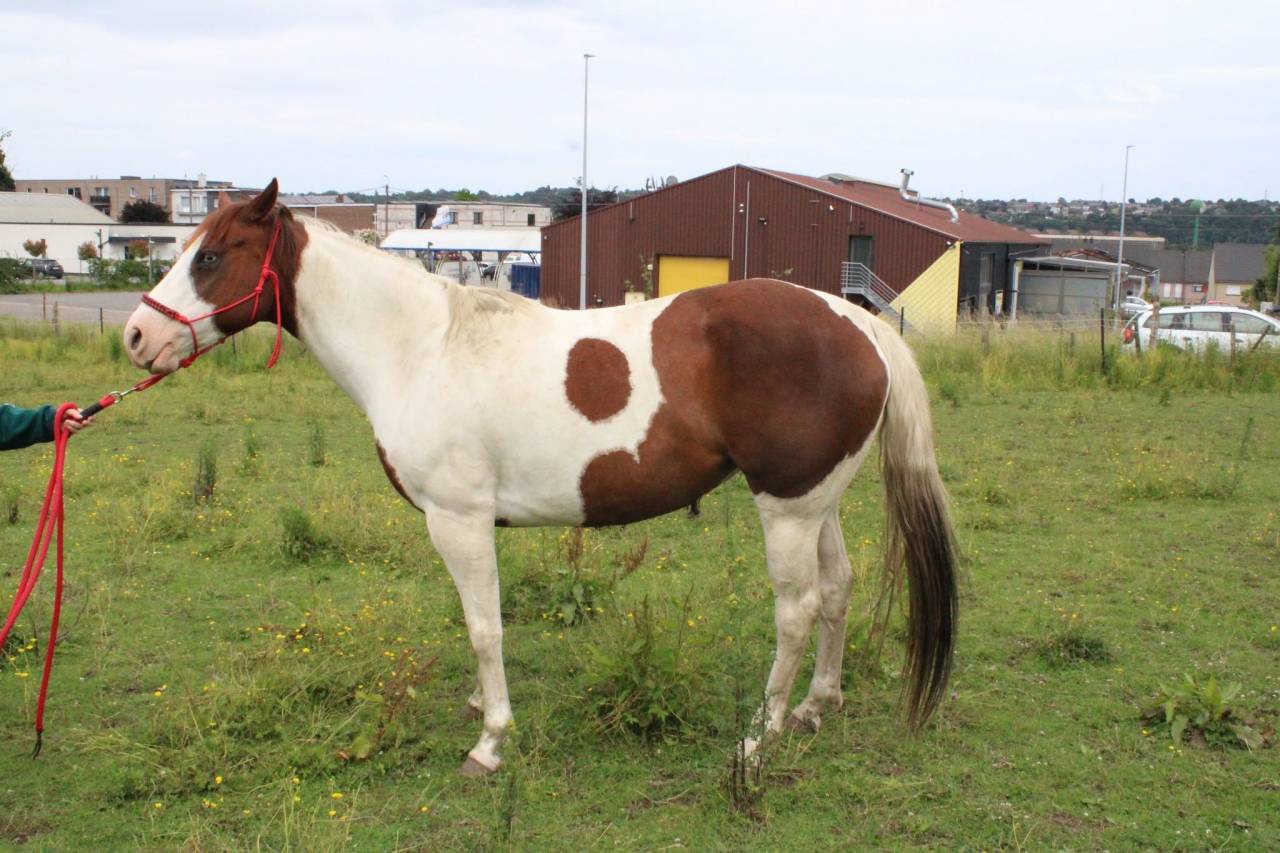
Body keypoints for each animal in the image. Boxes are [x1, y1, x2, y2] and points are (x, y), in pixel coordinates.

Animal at [123, 180, 958, 777]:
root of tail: (856, 321)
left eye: (211, 256)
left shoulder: (458, 519)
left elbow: (485, 626)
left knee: (797, 609)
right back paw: (816, 704)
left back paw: (761, 734)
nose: (137, 335)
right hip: (818, 504)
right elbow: (478, 624)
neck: (422, 346)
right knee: (839, 590)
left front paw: (492, 740)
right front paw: (478, 706)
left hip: (786, 509)